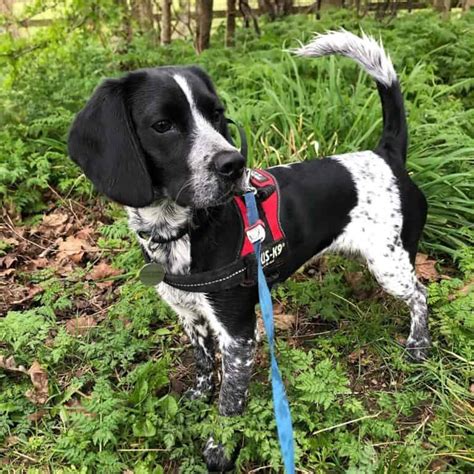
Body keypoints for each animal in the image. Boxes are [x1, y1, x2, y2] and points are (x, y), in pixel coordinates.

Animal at [67, 31, 430, 472]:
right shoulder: (190, 315)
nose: (234, 163)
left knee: (421, 294)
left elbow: (230, 402)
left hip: (390, 265)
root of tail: (386, 154)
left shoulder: (238, 334)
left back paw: (418, 346)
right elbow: (203, 364)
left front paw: (220, 449)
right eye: (163, 125)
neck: (181, 230)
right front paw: (198, 395)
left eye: (217, 114)